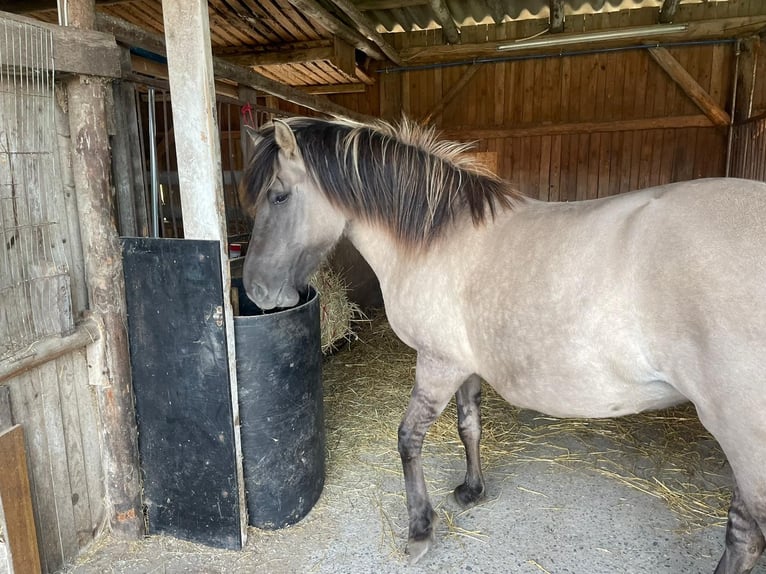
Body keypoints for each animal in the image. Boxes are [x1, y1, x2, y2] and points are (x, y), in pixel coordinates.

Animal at [240, 118, 766, 574]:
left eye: (279, 195)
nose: (257, 293)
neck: (437, 239)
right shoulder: (464, 366)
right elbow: (469, 426)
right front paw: (472, 490)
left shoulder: (438, 364)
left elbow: (409, 439)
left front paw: (420, 530)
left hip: (742, 437)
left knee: (746, 535)